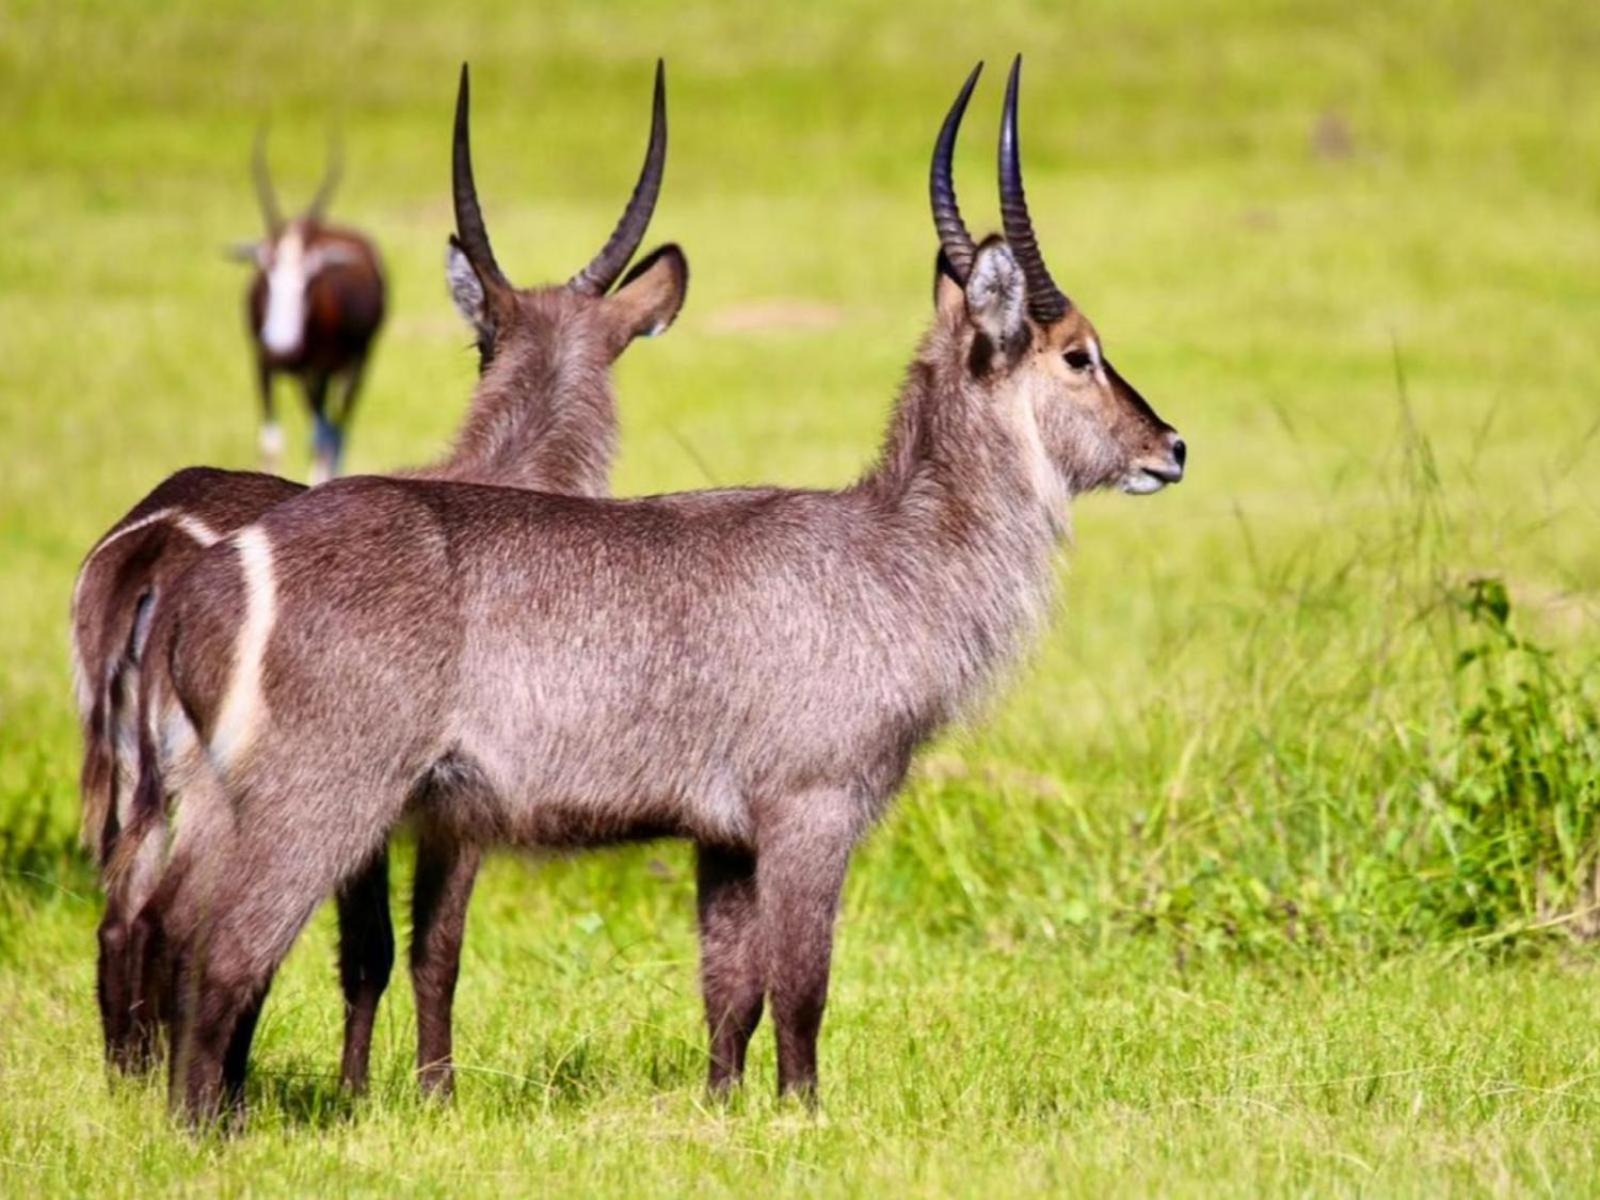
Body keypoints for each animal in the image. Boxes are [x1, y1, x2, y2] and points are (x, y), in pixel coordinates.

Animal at [232, 132, 387, 483]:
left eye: (312, 276)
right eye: (264, 271)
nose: (281, 347)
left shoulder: (317, 370)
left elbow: (322, 437)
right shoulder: (262, 364)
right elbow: (271, 442)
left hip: (353, 366)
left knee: (335, 429)